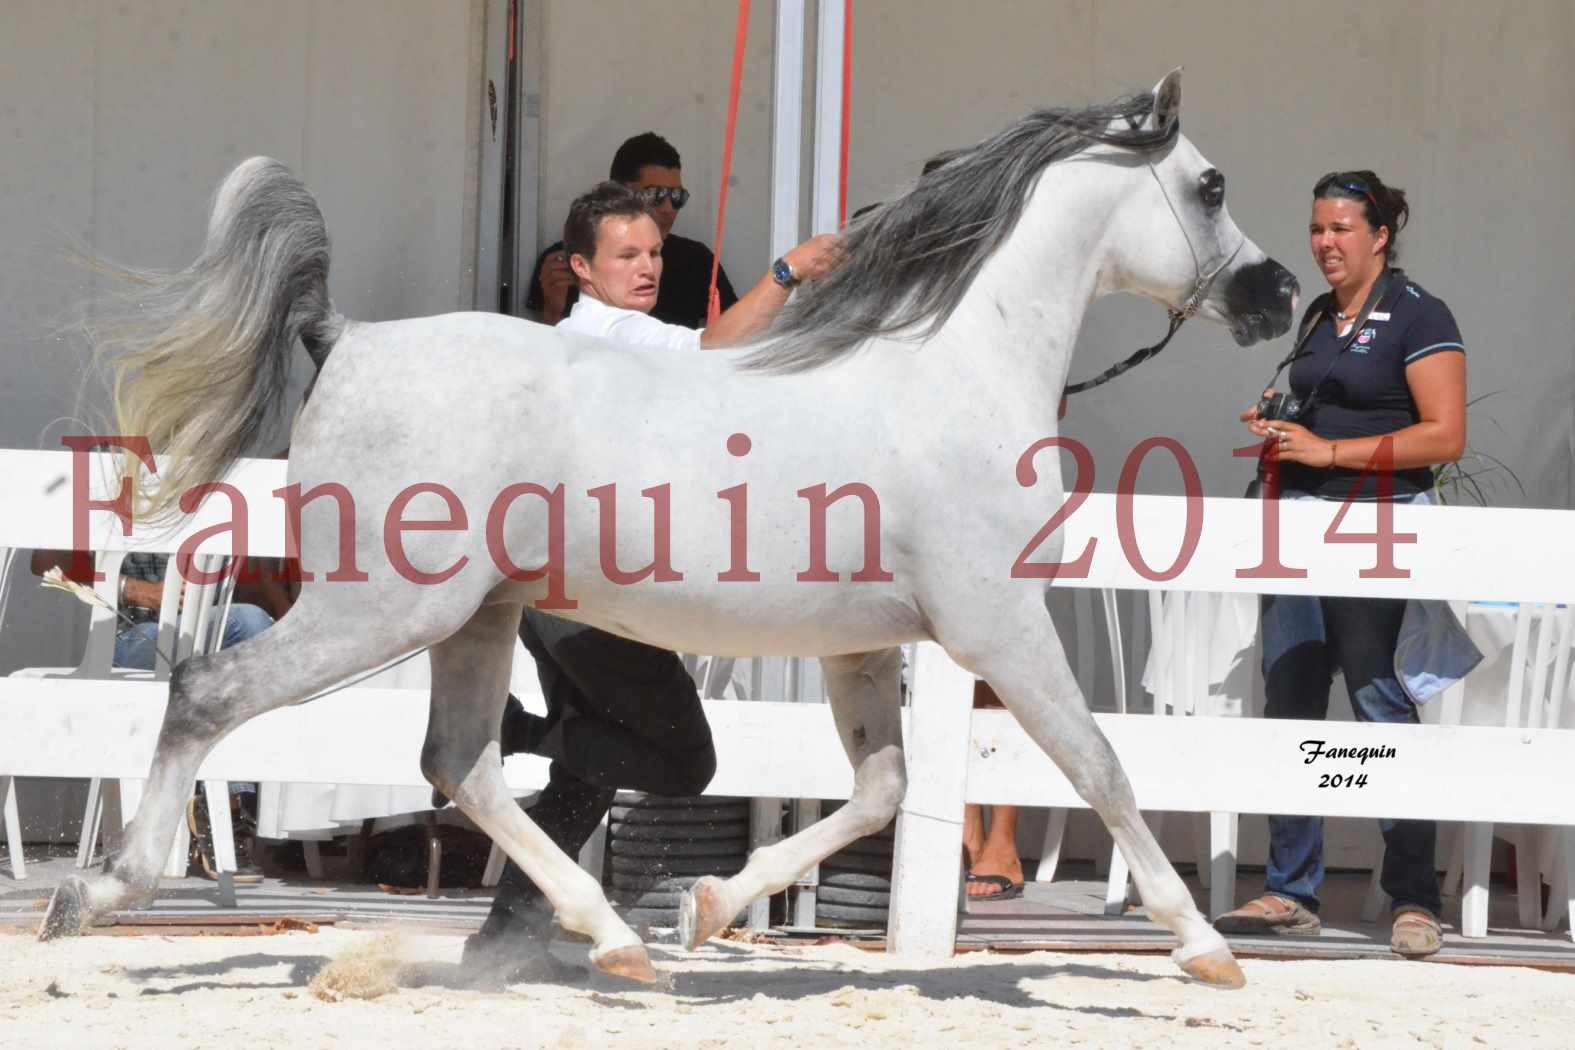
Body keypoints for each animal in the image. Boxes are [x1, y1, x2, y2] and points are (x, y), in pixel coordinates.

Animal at [43, 69, 1291, 988]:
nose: (1273, 296)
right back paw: (93, 894)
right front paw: (1206, 949)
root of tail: (344, 334)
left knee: (463, 762)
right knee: (211, 694)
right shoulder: (997, 626)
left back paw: (614, 940)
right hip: (382, 609)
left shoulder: (864, 644)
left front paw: (707, 908)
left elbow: (882, 790)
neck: (951, 376)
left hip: (473, 618)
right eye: (1212, 184)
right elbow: (1103, 766)